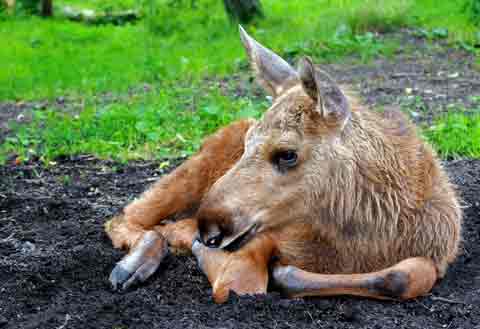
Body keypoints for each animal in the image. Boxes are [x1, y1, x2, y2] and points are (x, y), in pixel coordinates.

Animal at [104, 25, 462, 302]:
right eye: (247, 144)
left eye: (287, 153)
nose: (209, 228)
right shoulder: (254, 245)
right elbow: (241, 283)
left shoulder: (435, 257)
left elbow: (406, 276)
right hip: (190, 176)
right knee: (126, 217)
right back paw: (134, 264)